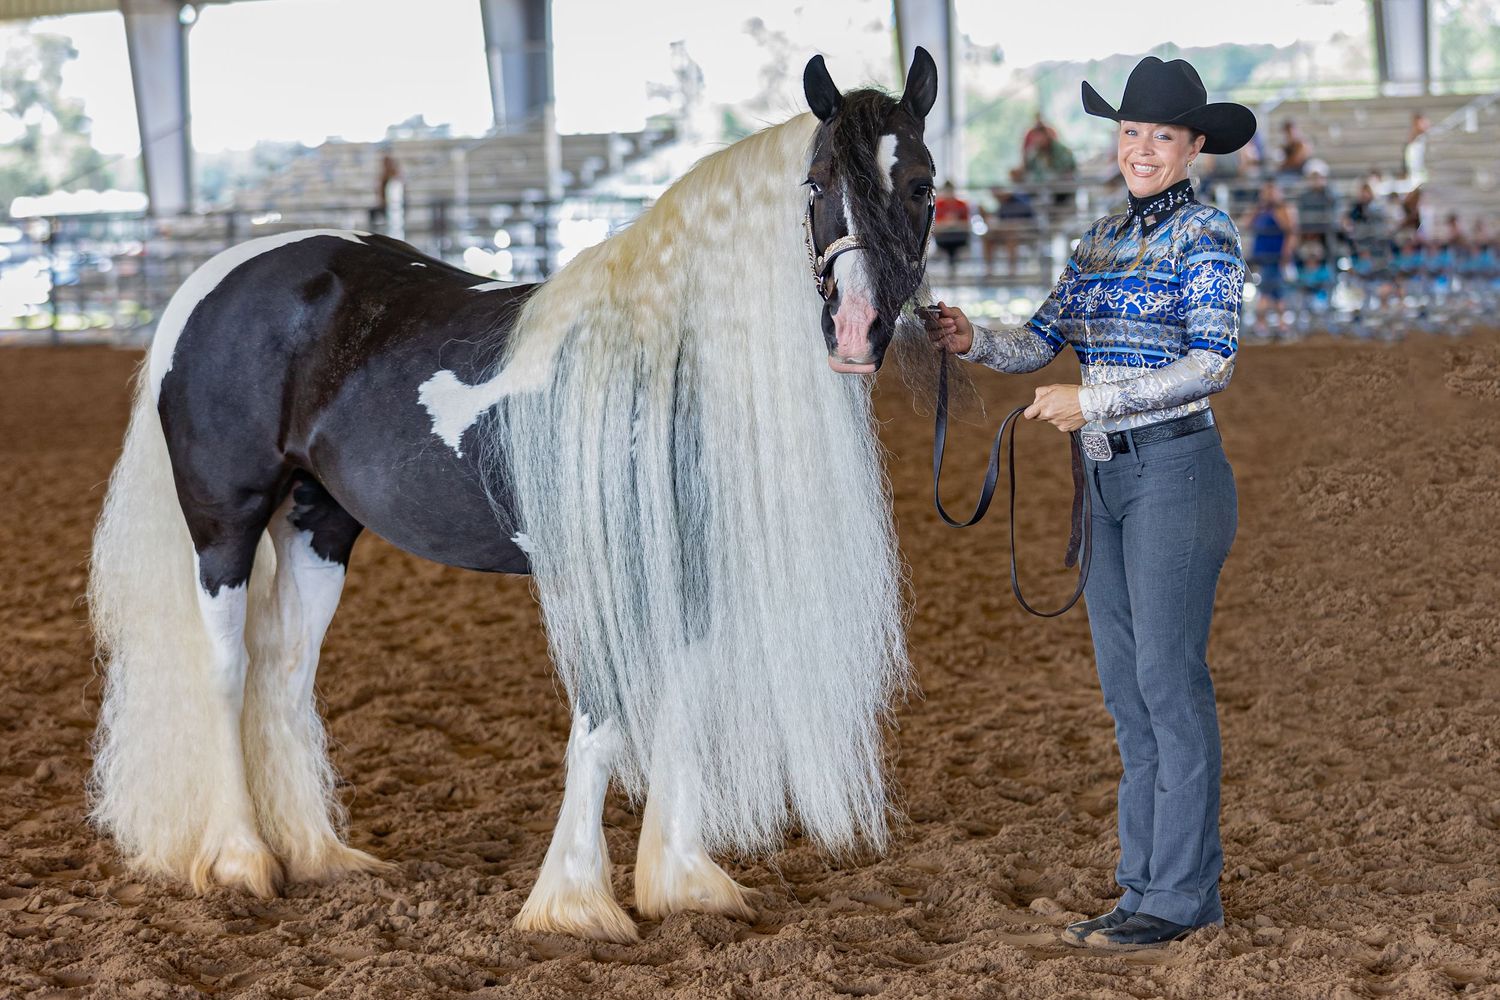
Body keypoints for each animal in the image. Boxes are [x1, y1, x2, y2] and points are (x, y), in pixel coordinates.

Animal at [87, 49, 939, 943]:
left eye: (921, 182)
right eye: (817, 182)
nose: (857, 327)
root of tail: (216, 279)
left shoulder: (684, 569)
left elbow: (679, 706)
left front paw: (682, 881)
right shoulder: (602, 570)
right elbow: (600, 722)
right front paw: (574, 902)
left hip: (319, 526)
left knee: (283, 672)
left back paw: (319, 855)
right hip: (224, 523)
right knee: (224, 671)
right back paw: (241, 858)